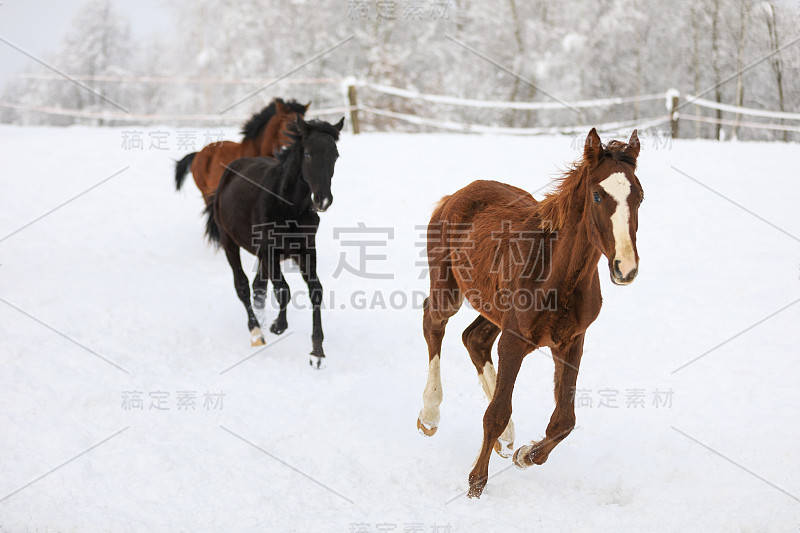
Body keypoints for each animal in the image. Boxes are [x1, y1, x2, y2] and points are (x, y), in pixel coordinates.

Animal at [203, 115, 344, 366]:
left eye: (335, 155)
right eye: (308, 154)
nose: (323, 200)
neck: (288, 206)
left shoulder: (306, 250)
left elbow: (316, 290)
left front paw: (317, 353)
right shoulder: (270, 251)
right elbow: (283, 290)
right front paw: (278, 326)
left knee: (258, 287)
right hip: (230, 243)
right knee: (242, 286)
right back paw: (256, 332)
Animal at [418, 130, 644, 498]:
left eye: (639, 196)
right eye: (597, 195)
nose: (625, 268)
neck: (558, 274)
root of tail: (458, 193)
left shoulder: (571, 341)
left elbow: (564, 420)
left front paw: (525, 454)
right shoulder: (514, 339)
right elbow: (495, 412)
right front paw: (475, 485)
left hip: (494, 308)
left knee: (474, 338)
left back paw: (509, 440)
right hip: (448, 288)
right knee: (434, 322)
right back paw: (430, 415)